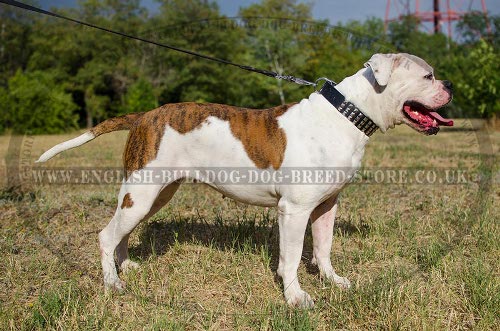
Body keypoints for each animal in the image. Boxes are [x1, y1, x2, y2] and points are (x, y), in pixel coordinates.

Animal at [37, 52, 456, 308]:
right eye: (428, 75)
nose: (450, 85)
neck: (346, 112)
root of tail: (143, 116)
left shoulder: (326, 206)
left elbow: (323, 248)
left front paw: (333, 280)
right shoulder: (294, 211)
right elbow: (290, 257)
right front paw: (295, 297)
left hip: (154, 195)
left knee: (122, 232)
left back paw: (126, 267)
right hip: (141, 193)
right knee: (106, 235)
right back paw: (112, 283)